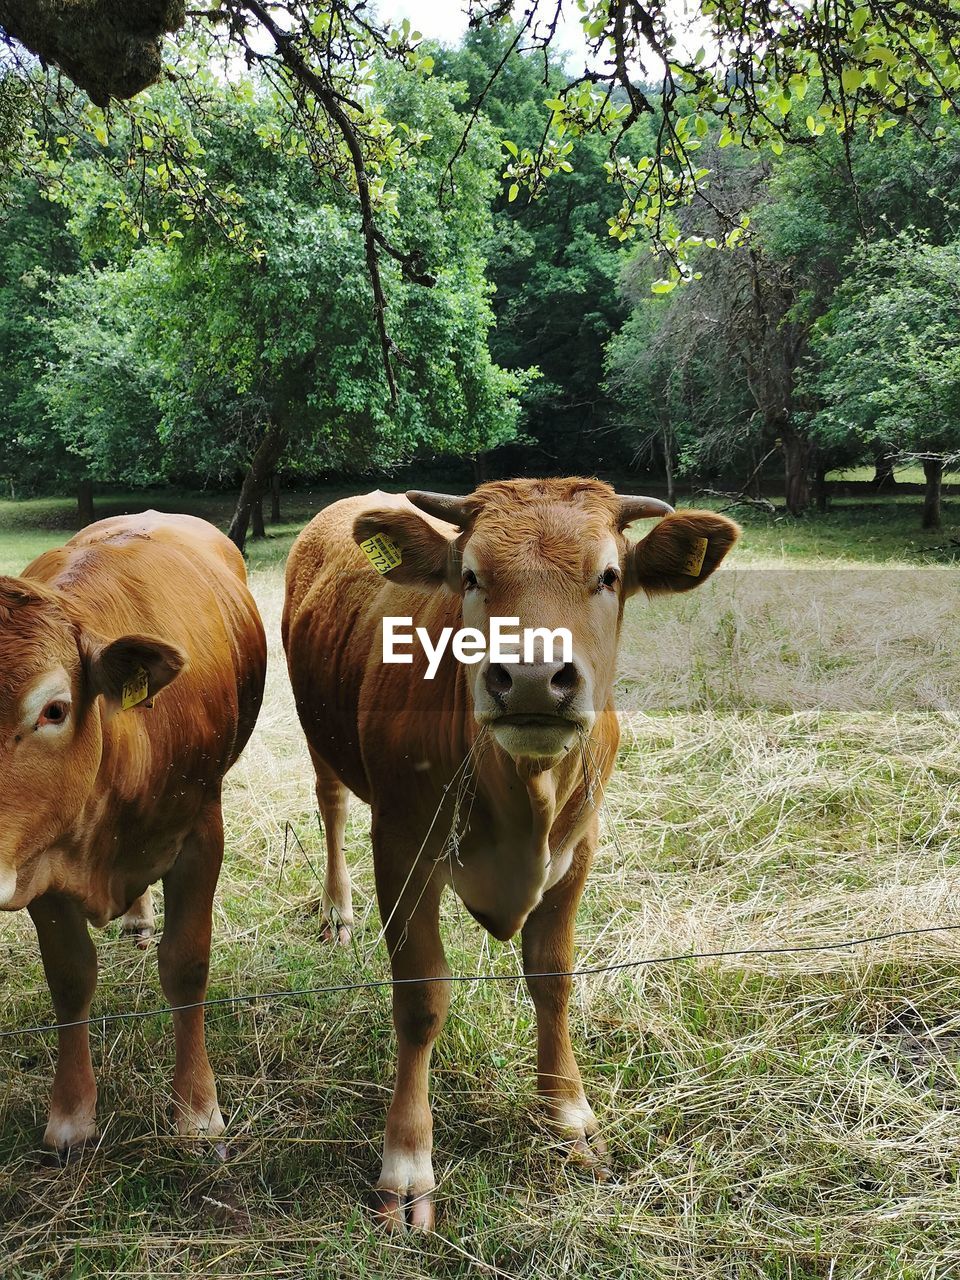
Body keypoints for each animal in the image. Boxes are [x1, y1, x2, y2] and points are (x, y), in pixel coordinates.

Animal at [0, 514, 267, 1157]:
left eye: (54, 710)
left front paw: (197, 1108)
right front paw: (71, 1115)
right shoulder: (40, 861)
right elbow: (70, 977)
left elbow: (186, 964)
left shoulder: (201, 835)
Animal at [281, 481, 742, 1228]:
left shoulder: (579, 849)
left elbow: (553, 978)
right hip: (317, 732)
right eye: (471, 576)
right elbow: (421, 998)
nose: (530, 678)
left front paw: (568, 1115)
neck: (525, 790)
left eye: (608, 575)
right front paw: (406, 1160)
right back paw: (337, 911)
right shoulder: (401, 846)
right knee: (330, 803)